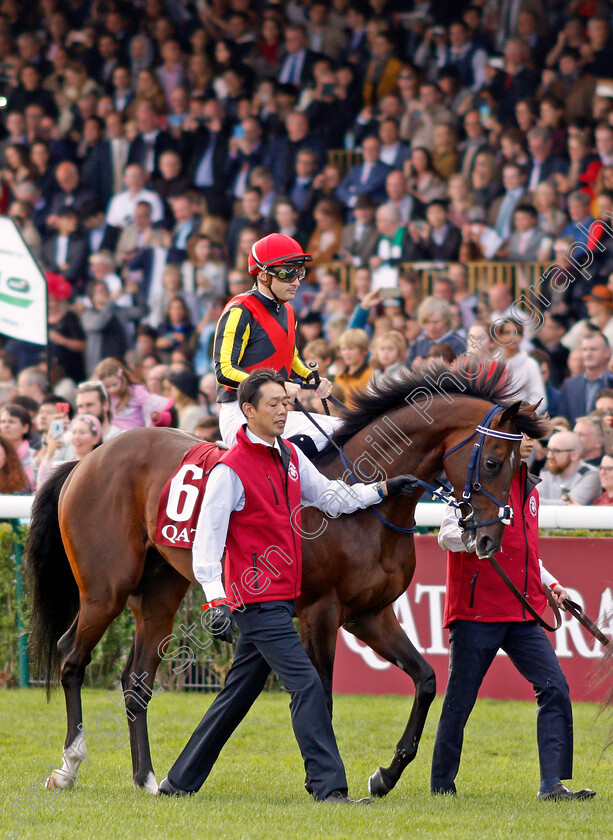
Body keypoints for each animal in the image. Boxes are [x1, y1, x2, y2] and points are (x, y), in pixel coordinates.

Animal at [27, 358, 544, 796]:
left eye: (522, 466)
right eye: (493, 462)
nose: (489, 539)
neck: (362, 508)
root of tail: (90, 458)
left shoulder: (370, 614)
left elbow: (426, 679)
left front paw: (385, 774)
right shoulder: (320, 613)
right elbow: (323, 695)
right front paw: (326, 779)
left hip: (159, 593)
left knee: (136, 681)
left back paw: (148, 778)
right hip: (105, 589)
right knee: (71, 657)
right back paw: (68, 766)